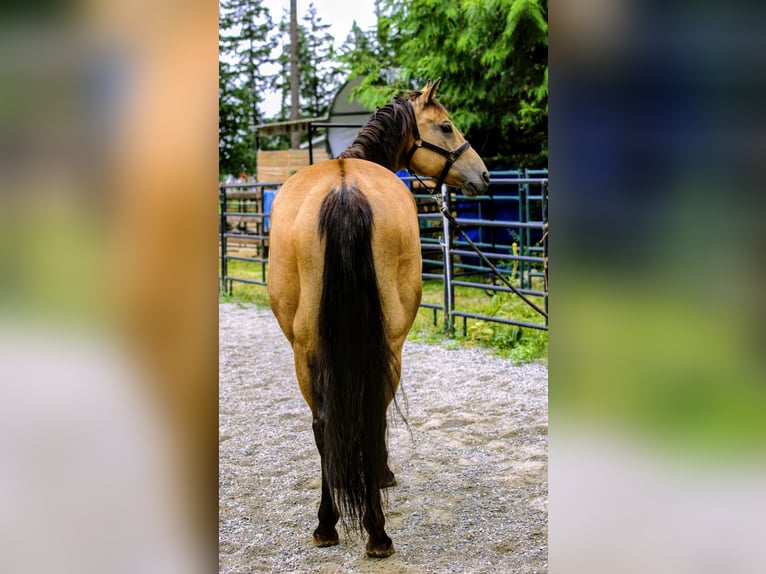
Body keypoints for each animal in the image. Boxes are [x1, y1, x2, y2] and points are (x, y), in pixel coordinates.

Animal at [267, 79, 490, 558]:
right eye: (446, 125)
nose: (483, 175)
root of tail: (344, 192)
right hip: (388, 344)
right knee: (372, 418)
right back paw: (377, 532)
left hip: (304, 348)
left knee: (323, 422)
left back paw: (327, 524)